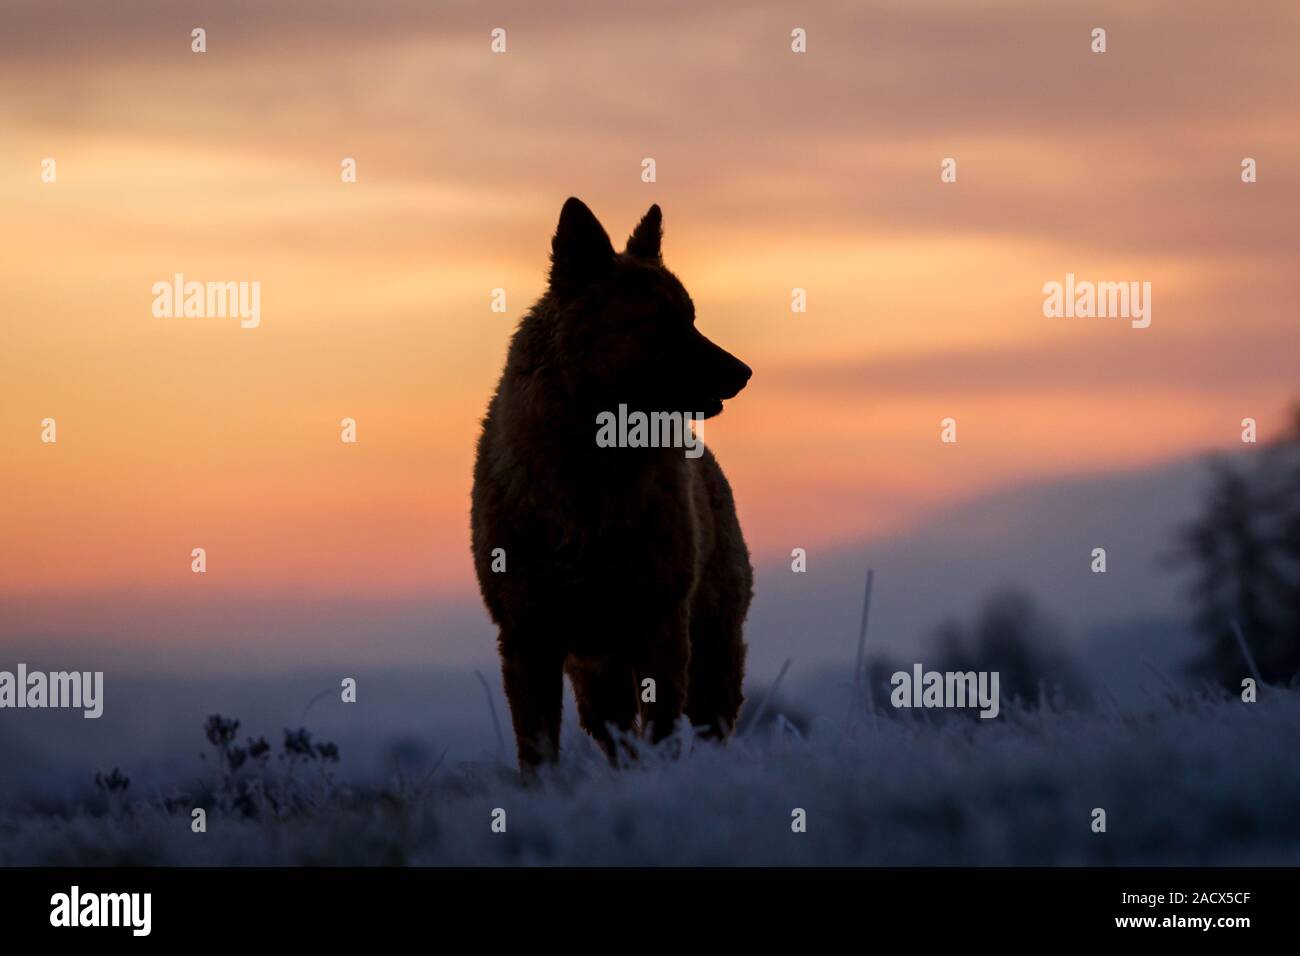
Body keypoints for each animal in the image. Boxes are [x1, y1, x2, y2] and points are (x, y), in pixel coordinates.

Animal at [470, 200, 754, 770]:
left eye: (691, 317)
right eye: (657, 322)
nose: (745, 372)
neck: (591, 475)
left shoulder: (661, 625)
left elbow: (663, 730)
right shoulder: (527, 637)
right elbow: (538, 752)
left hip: (711, 651)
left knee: (707, 725)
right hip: (598, 672)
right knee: (617, 735)